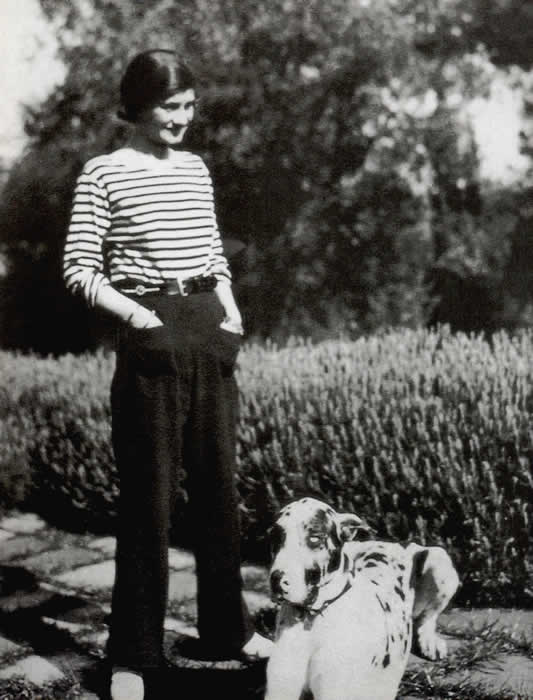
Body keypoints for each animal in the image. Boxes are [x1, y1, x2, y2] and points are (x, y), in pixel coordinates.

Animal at [264, 498, 460, 700]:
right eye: (274, 537)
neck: (313, 617)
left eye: (315, 537)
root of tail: (393, 543)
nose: (276, 579)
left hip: (439, 560)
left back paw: (430, 641)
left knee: (427, 618)